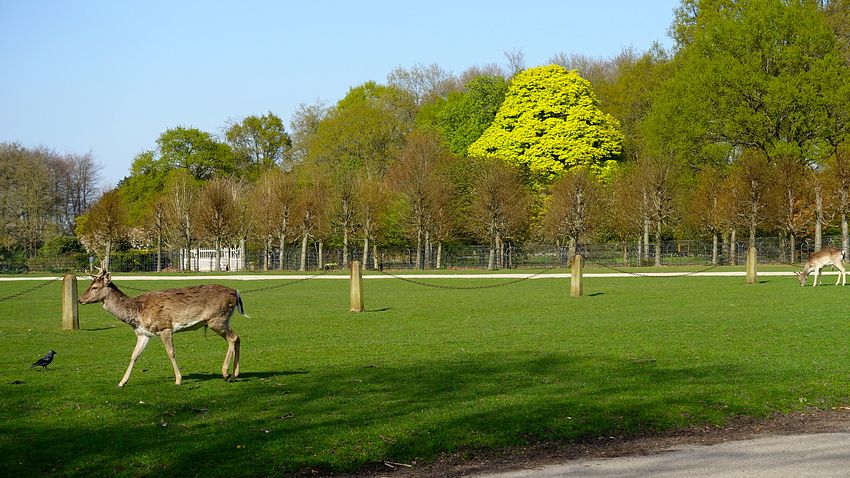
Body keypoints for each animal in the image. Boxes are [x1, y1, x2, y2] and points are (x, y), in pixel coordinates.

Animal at [78, 265, 247, 387]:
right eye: (90, 284)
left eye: (94, 287)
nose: (80, 299)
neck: (137, 312)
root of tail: (236, 292)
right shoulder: (143, 334)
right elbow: (134, 355)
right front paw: (122, 382)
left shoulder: (164, 327)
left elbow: (170, 353)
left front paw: (178, 379)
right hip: (221, 320)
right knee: (238, 337)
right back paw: (235, 374)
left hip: (217, 319)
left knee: (233, 338)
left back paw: (225, 372)